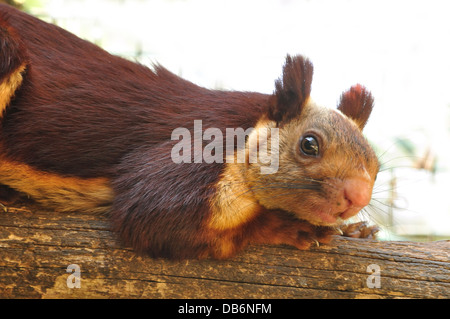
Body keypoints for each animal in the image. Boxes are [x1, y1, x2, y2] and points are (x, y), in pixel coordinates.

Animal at [0, 4, 380, 260]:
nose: (359, 197)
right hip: (7, 52)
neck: (247, 132)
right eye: (309, 144)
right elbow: (152, 215)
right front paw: (287, 226)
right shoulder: (193, 154)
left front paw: (354, 231)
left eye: (375, 165)